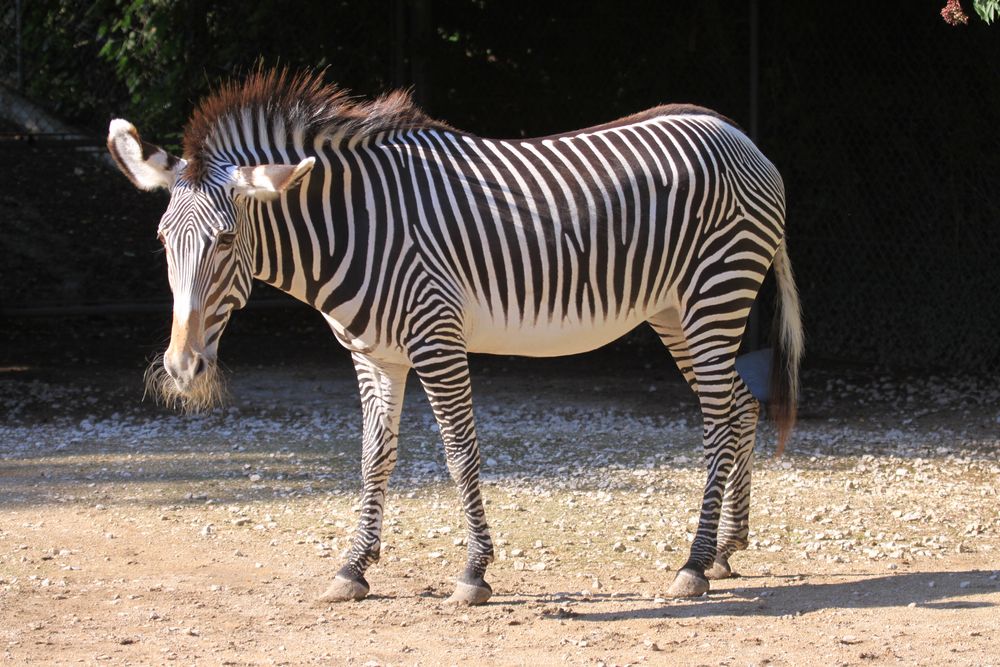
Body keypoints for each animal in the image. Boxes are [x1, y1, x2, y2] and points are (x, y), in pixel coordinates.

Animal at [105, 70, 800, 608]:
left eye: (225, 241)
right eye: (163, 240)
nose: (183, 368)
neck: (354, 225)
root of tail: (739, 134)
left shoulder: (436, 337)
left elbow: (460, 454)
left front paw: (474, 573)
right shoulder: (374, 354)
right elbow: (373, 456)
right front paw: (353, 568)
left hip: (714, 294)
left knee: (719, 417)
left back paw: (694, 563)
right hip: (674, 312)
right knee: (739, 406)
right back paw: (728, 549)